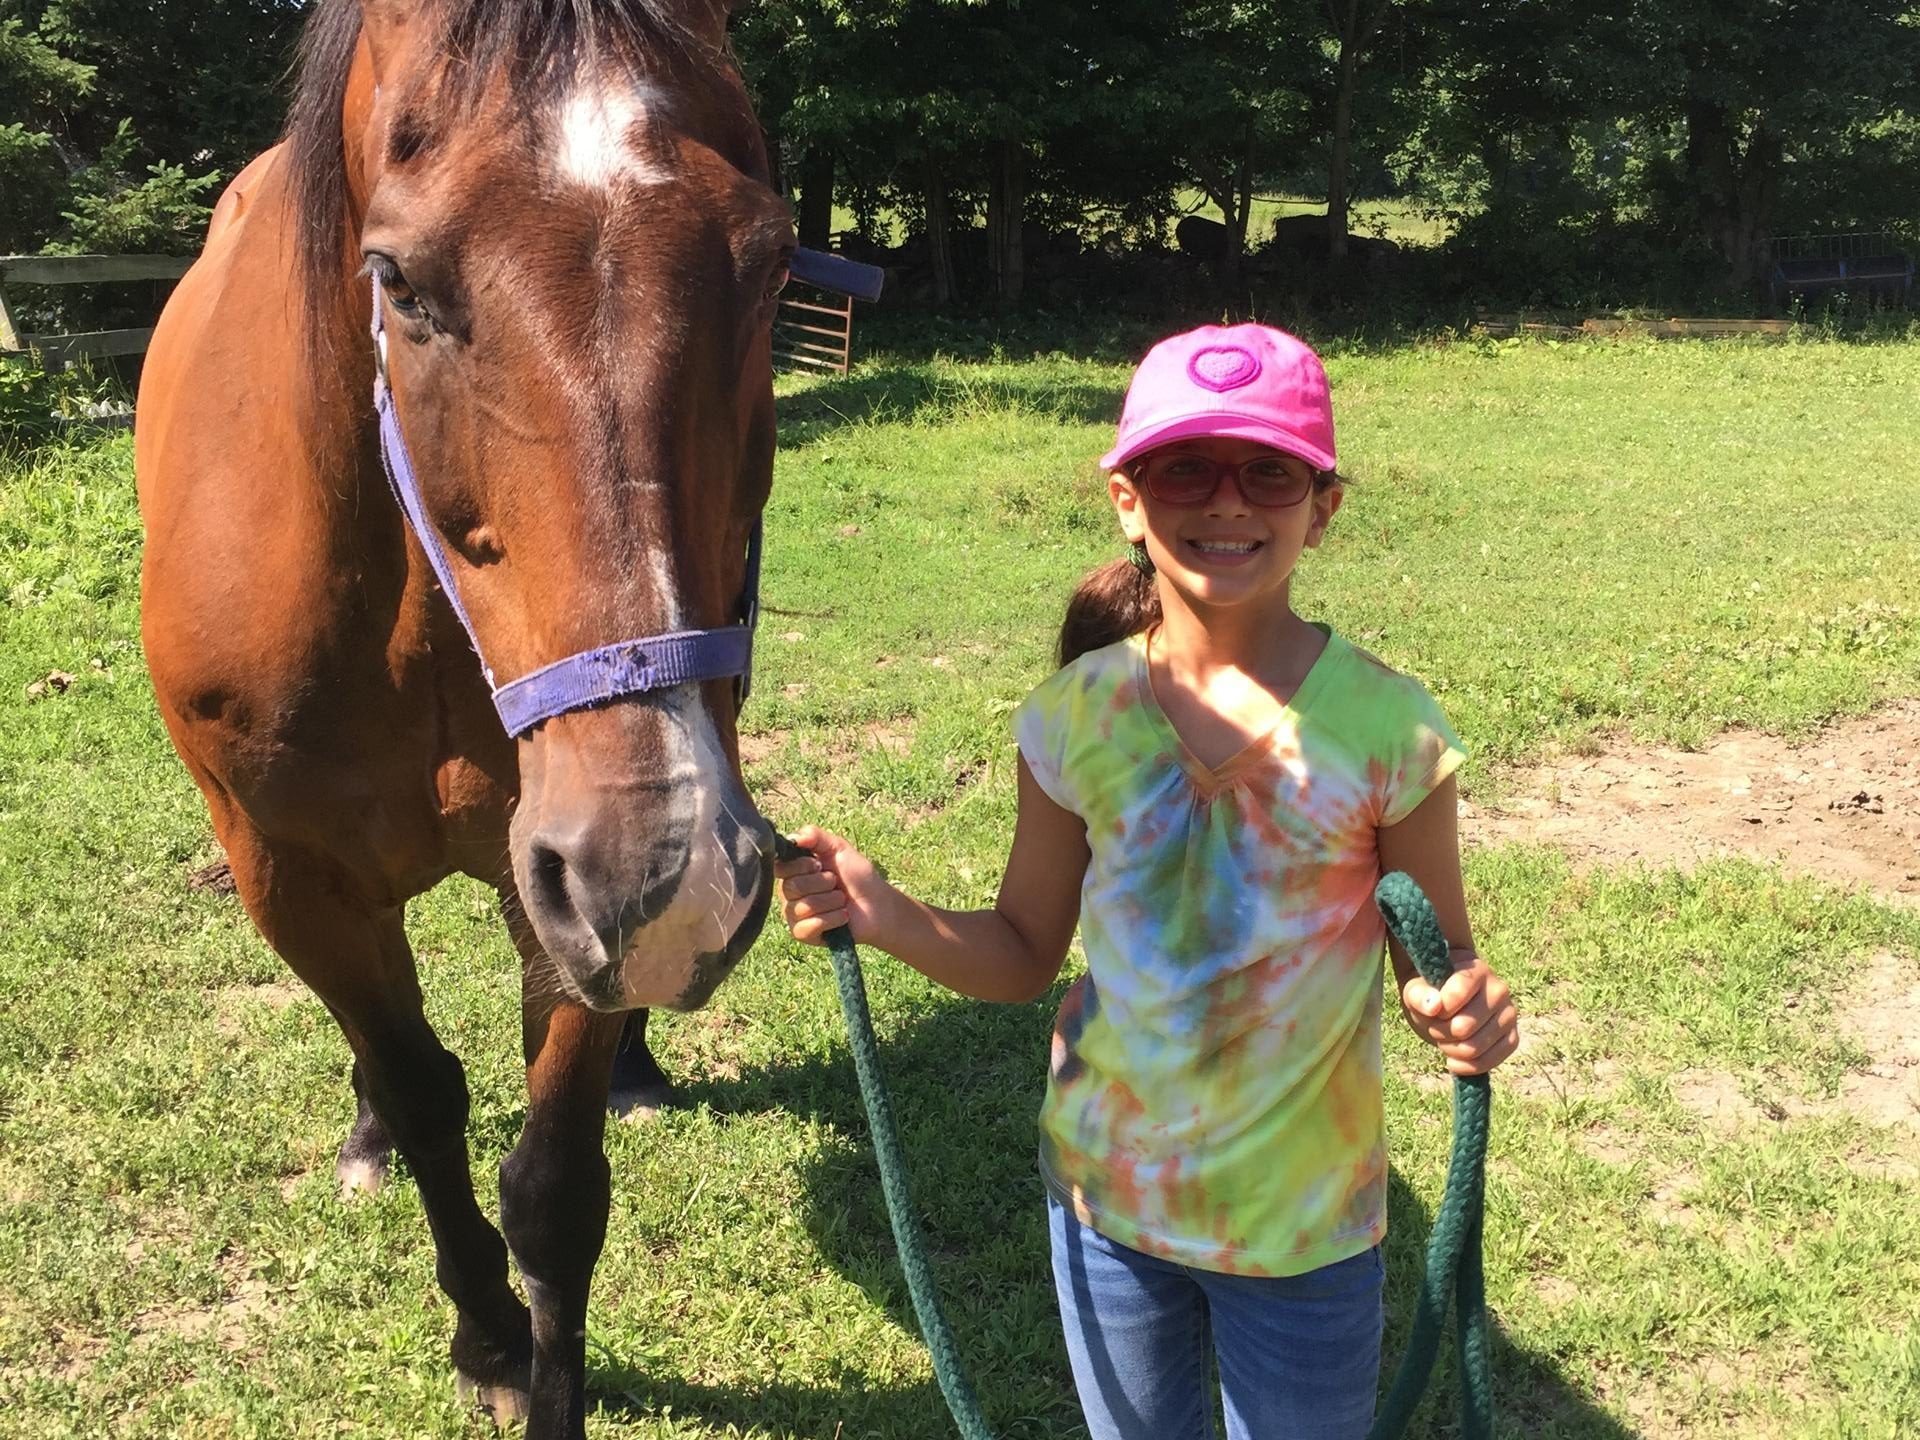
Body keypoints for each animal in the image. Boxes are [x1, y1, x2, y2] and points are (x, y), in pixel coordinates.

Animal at [134, 2, 791, 1433]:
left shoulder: (554, 887)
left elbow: (555, 1188)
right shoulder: (293, 877)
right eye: (399, 282)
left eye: (771, 266)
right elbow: (429, 1095)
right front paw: (487, 1339)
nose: (664, 875)